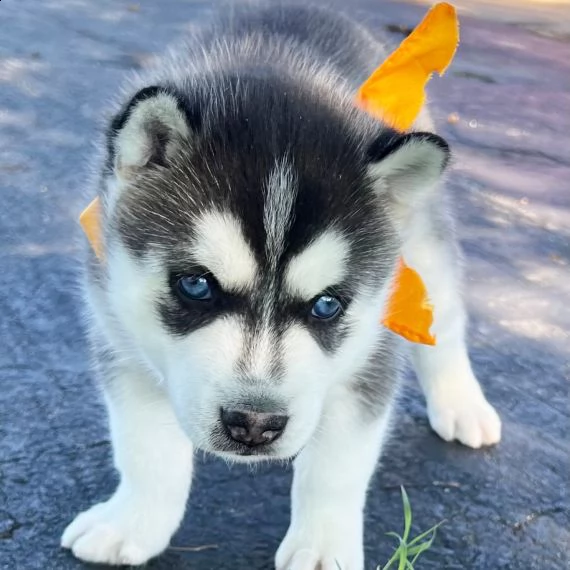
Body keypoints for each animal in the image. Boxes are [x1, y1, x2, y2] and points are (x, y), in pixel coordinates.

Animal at [60, 3, 500, 564]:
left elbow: (336, 469)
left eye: (328, 305)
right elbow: (147, 451)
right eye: (197, 286)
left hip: (423, 244)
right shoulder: (121, 332)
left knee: (444, 319)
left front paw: (323, 548)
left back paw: (461, 404)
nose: (254, 423)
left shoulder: (369, 352)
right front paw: (132, 523)